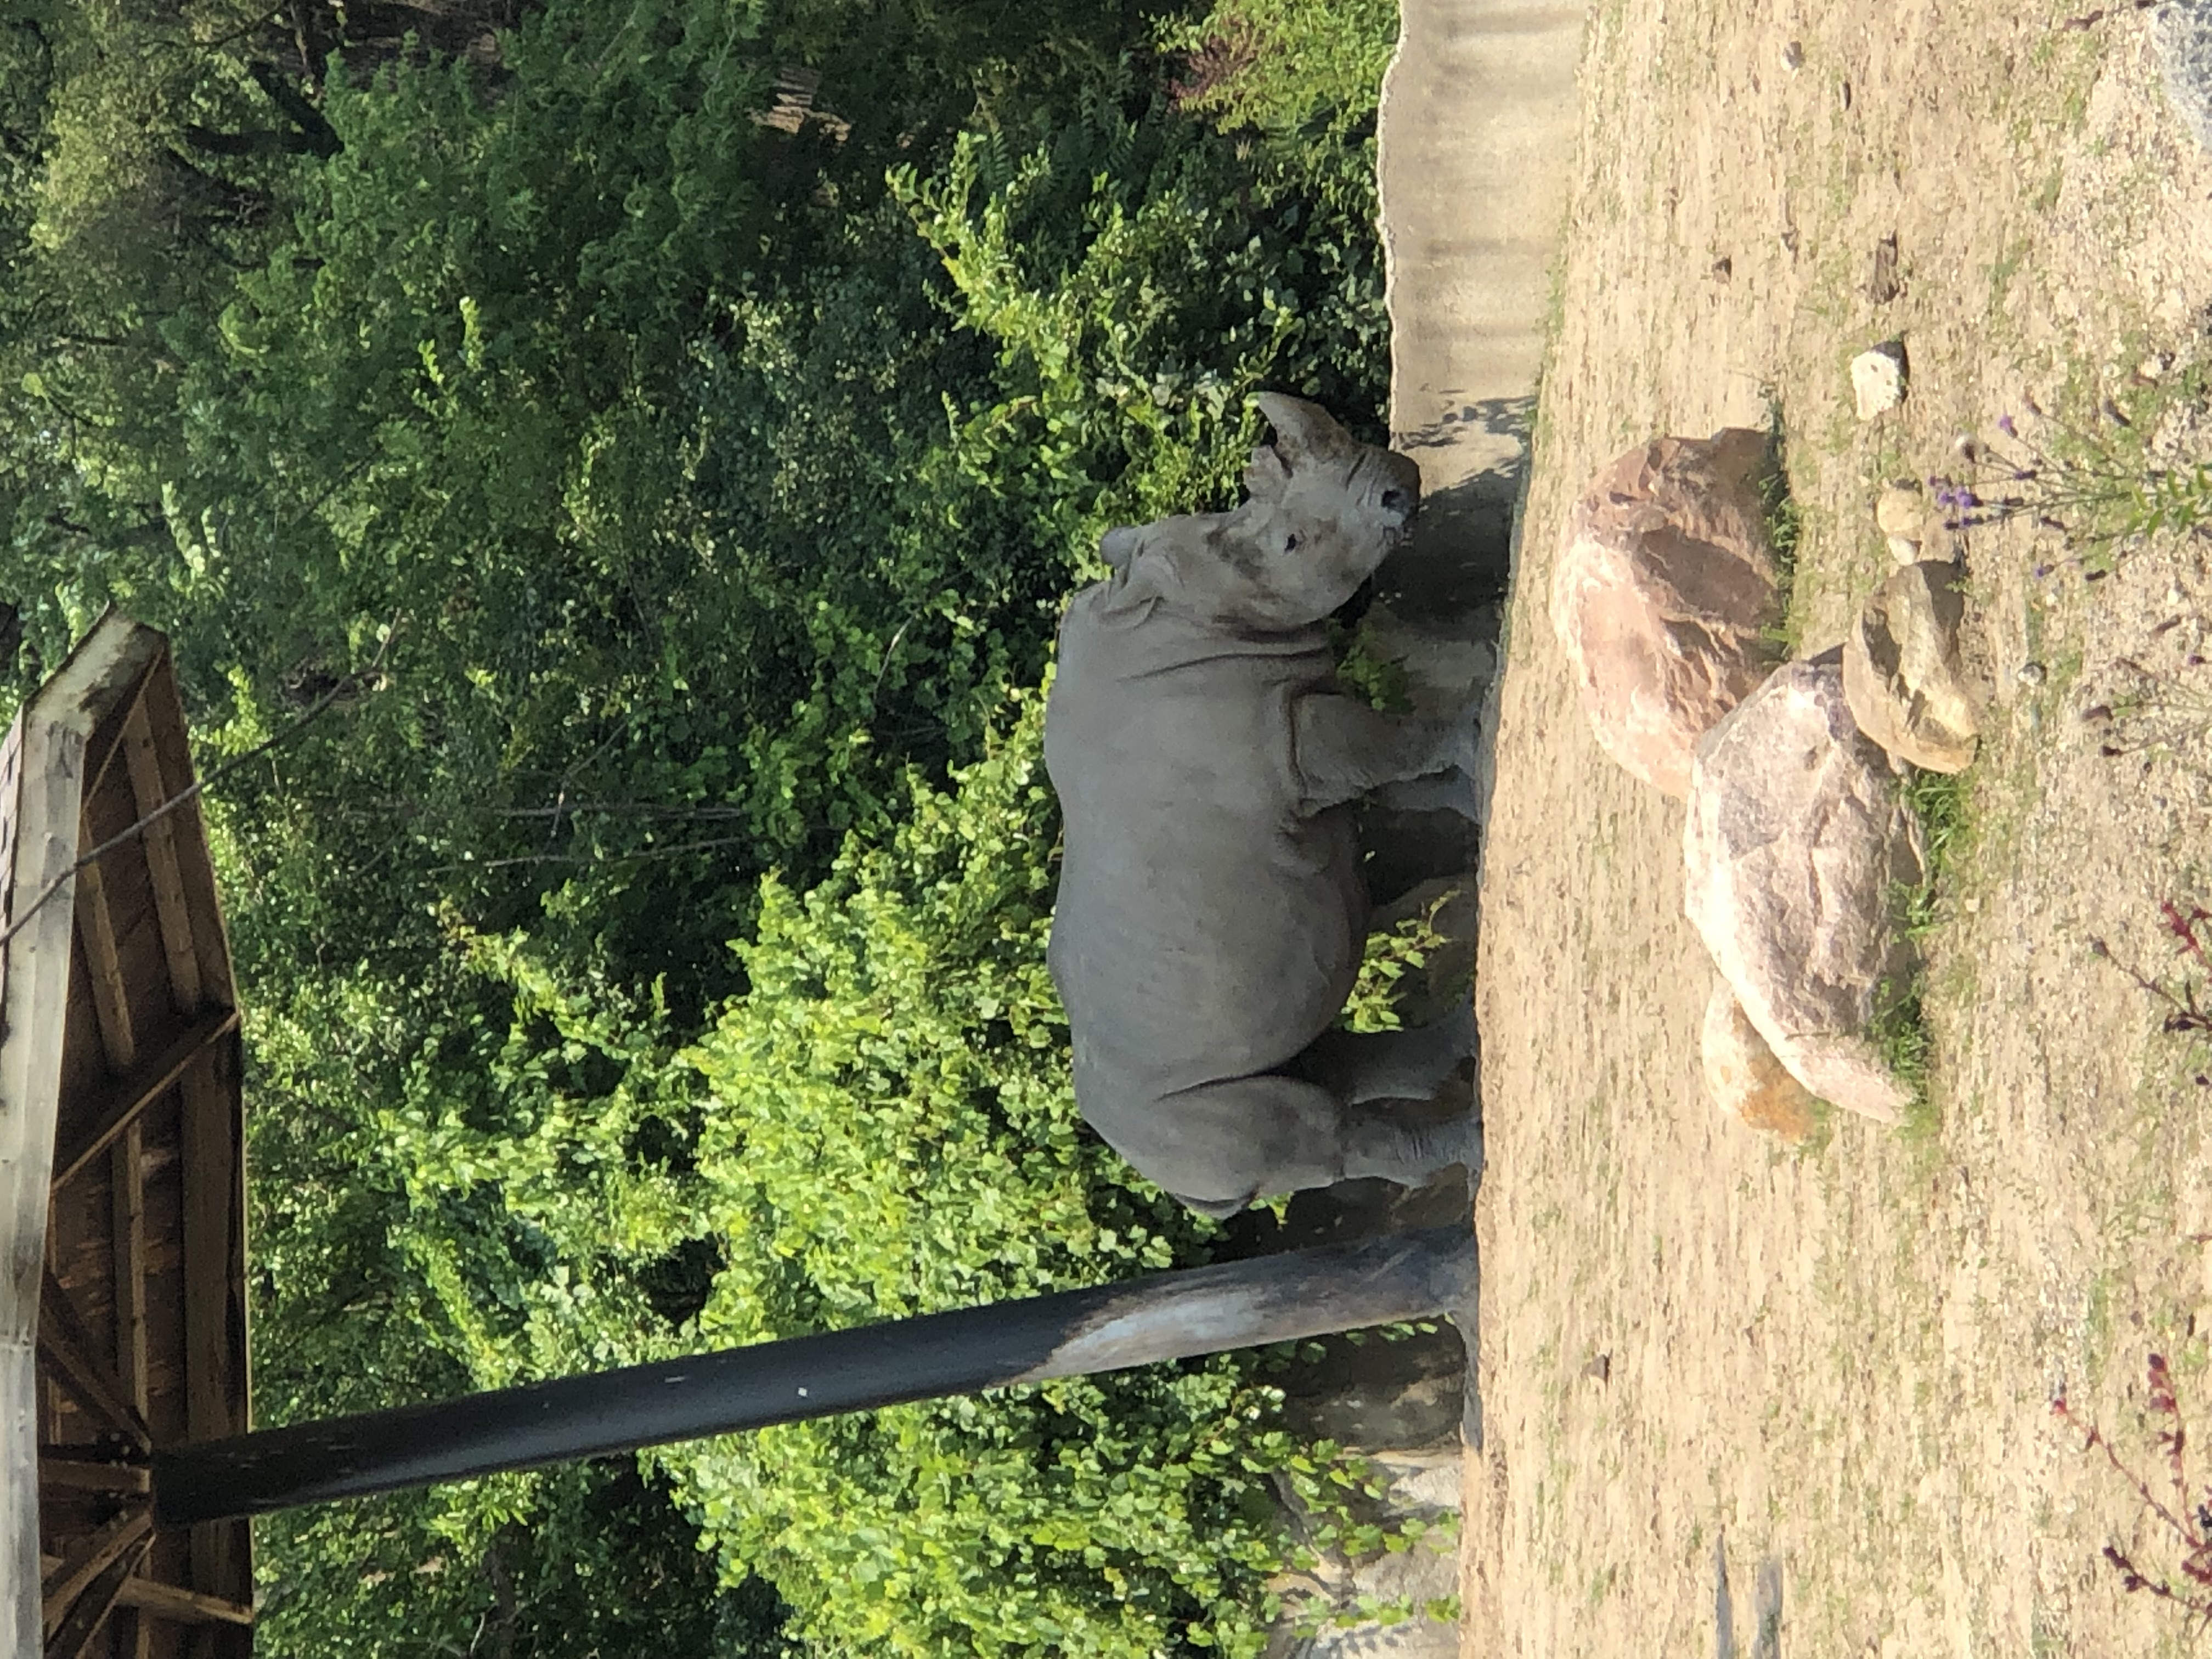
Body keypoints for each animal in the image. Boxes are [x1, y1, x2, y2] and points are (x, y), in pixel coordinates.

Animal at [1044, 394, 1484, 1220]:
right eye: (1290, 542)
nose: (1398, 488)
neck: (1196, 602)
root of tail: (1160, 1178)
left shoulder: (1302, 729)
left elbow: (1403, 773)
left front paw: (1474, 784)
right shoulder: (1292, 740)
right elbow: (1399, 745)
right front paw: (1483, 730)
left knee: (1316, 1057)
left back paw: (1465, 1045)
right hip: (1186, 1125)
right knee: (1309, 1130)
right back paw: (1477, 1141)